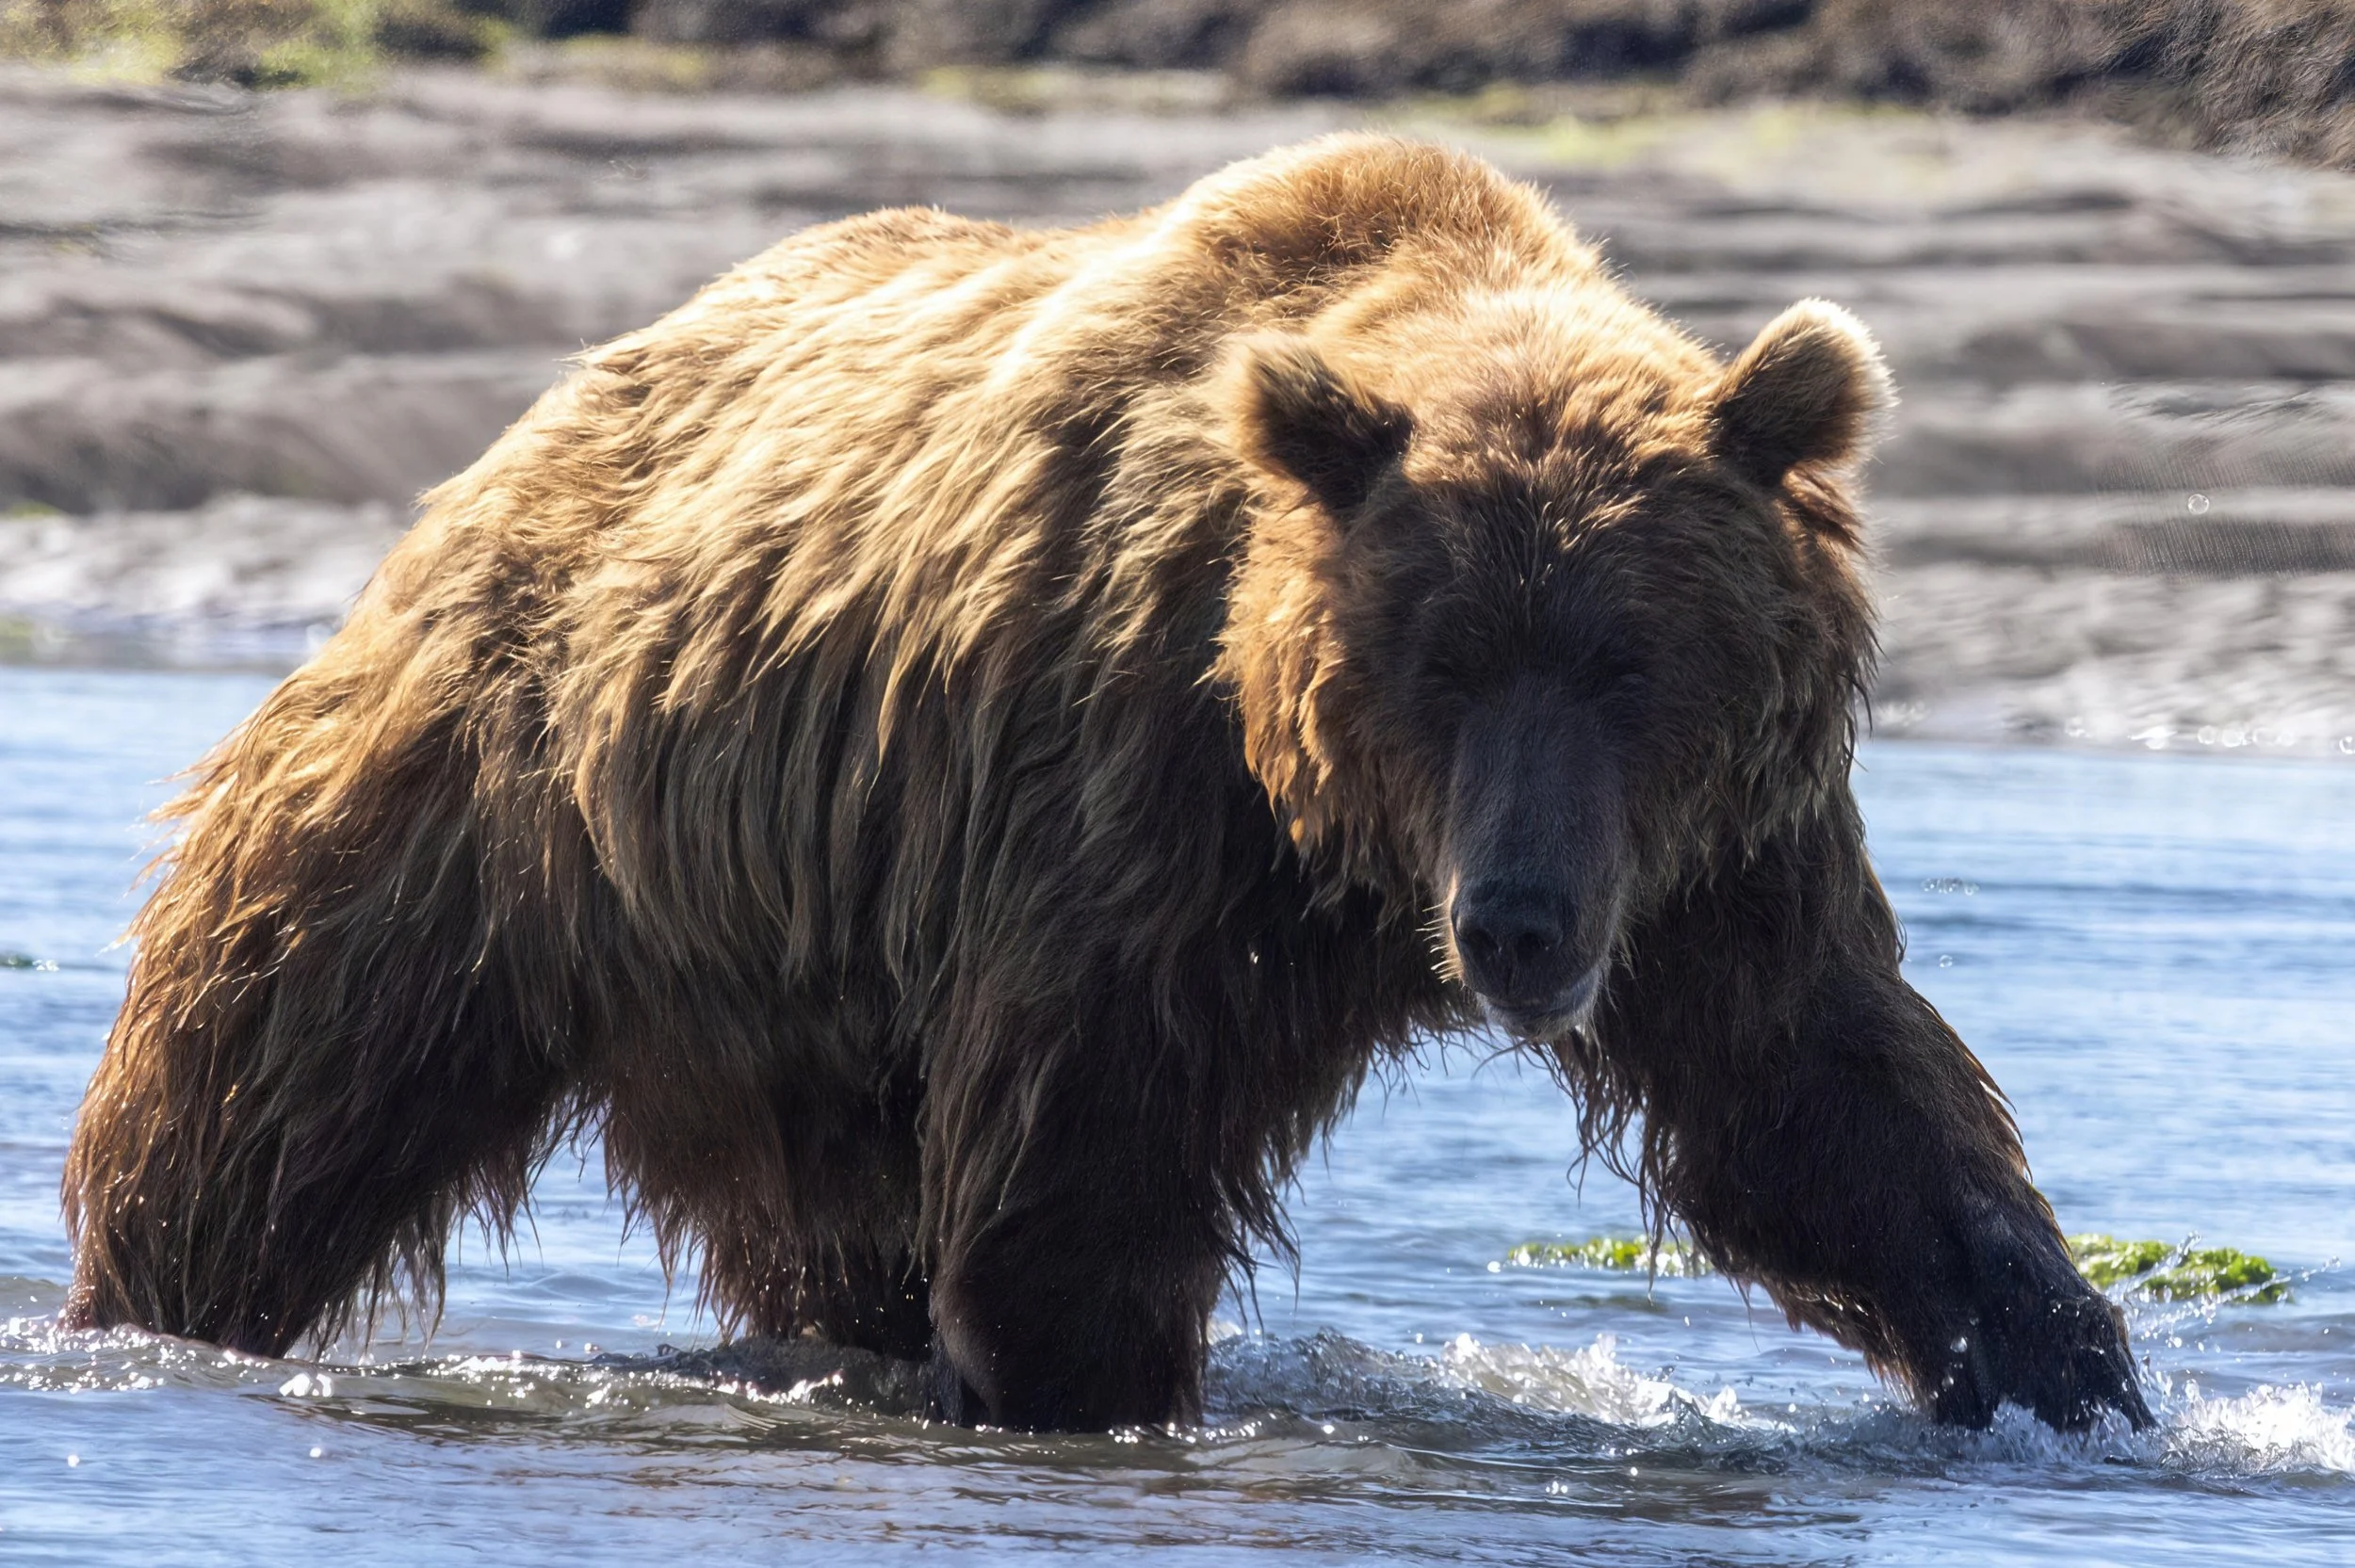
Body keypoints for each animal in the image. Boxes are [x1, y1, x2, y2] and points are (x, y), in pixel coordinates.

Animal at [62, 134, 2149, 1434]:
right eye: (1440, 660)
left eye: (1631, 663)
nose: (1519, 928)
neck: (1338, 845)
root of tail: (537, 422)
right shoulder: (1135, 791)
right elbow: (1084, 1155)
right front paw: (1092, 1393)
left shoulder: (1716, 856)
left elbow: (1824, 1102)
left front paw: (2076, 1376)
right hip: (492, 805)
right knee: (265, 1092)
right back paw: (140, 1312)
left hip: (781, 980)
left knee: (830, 1228)